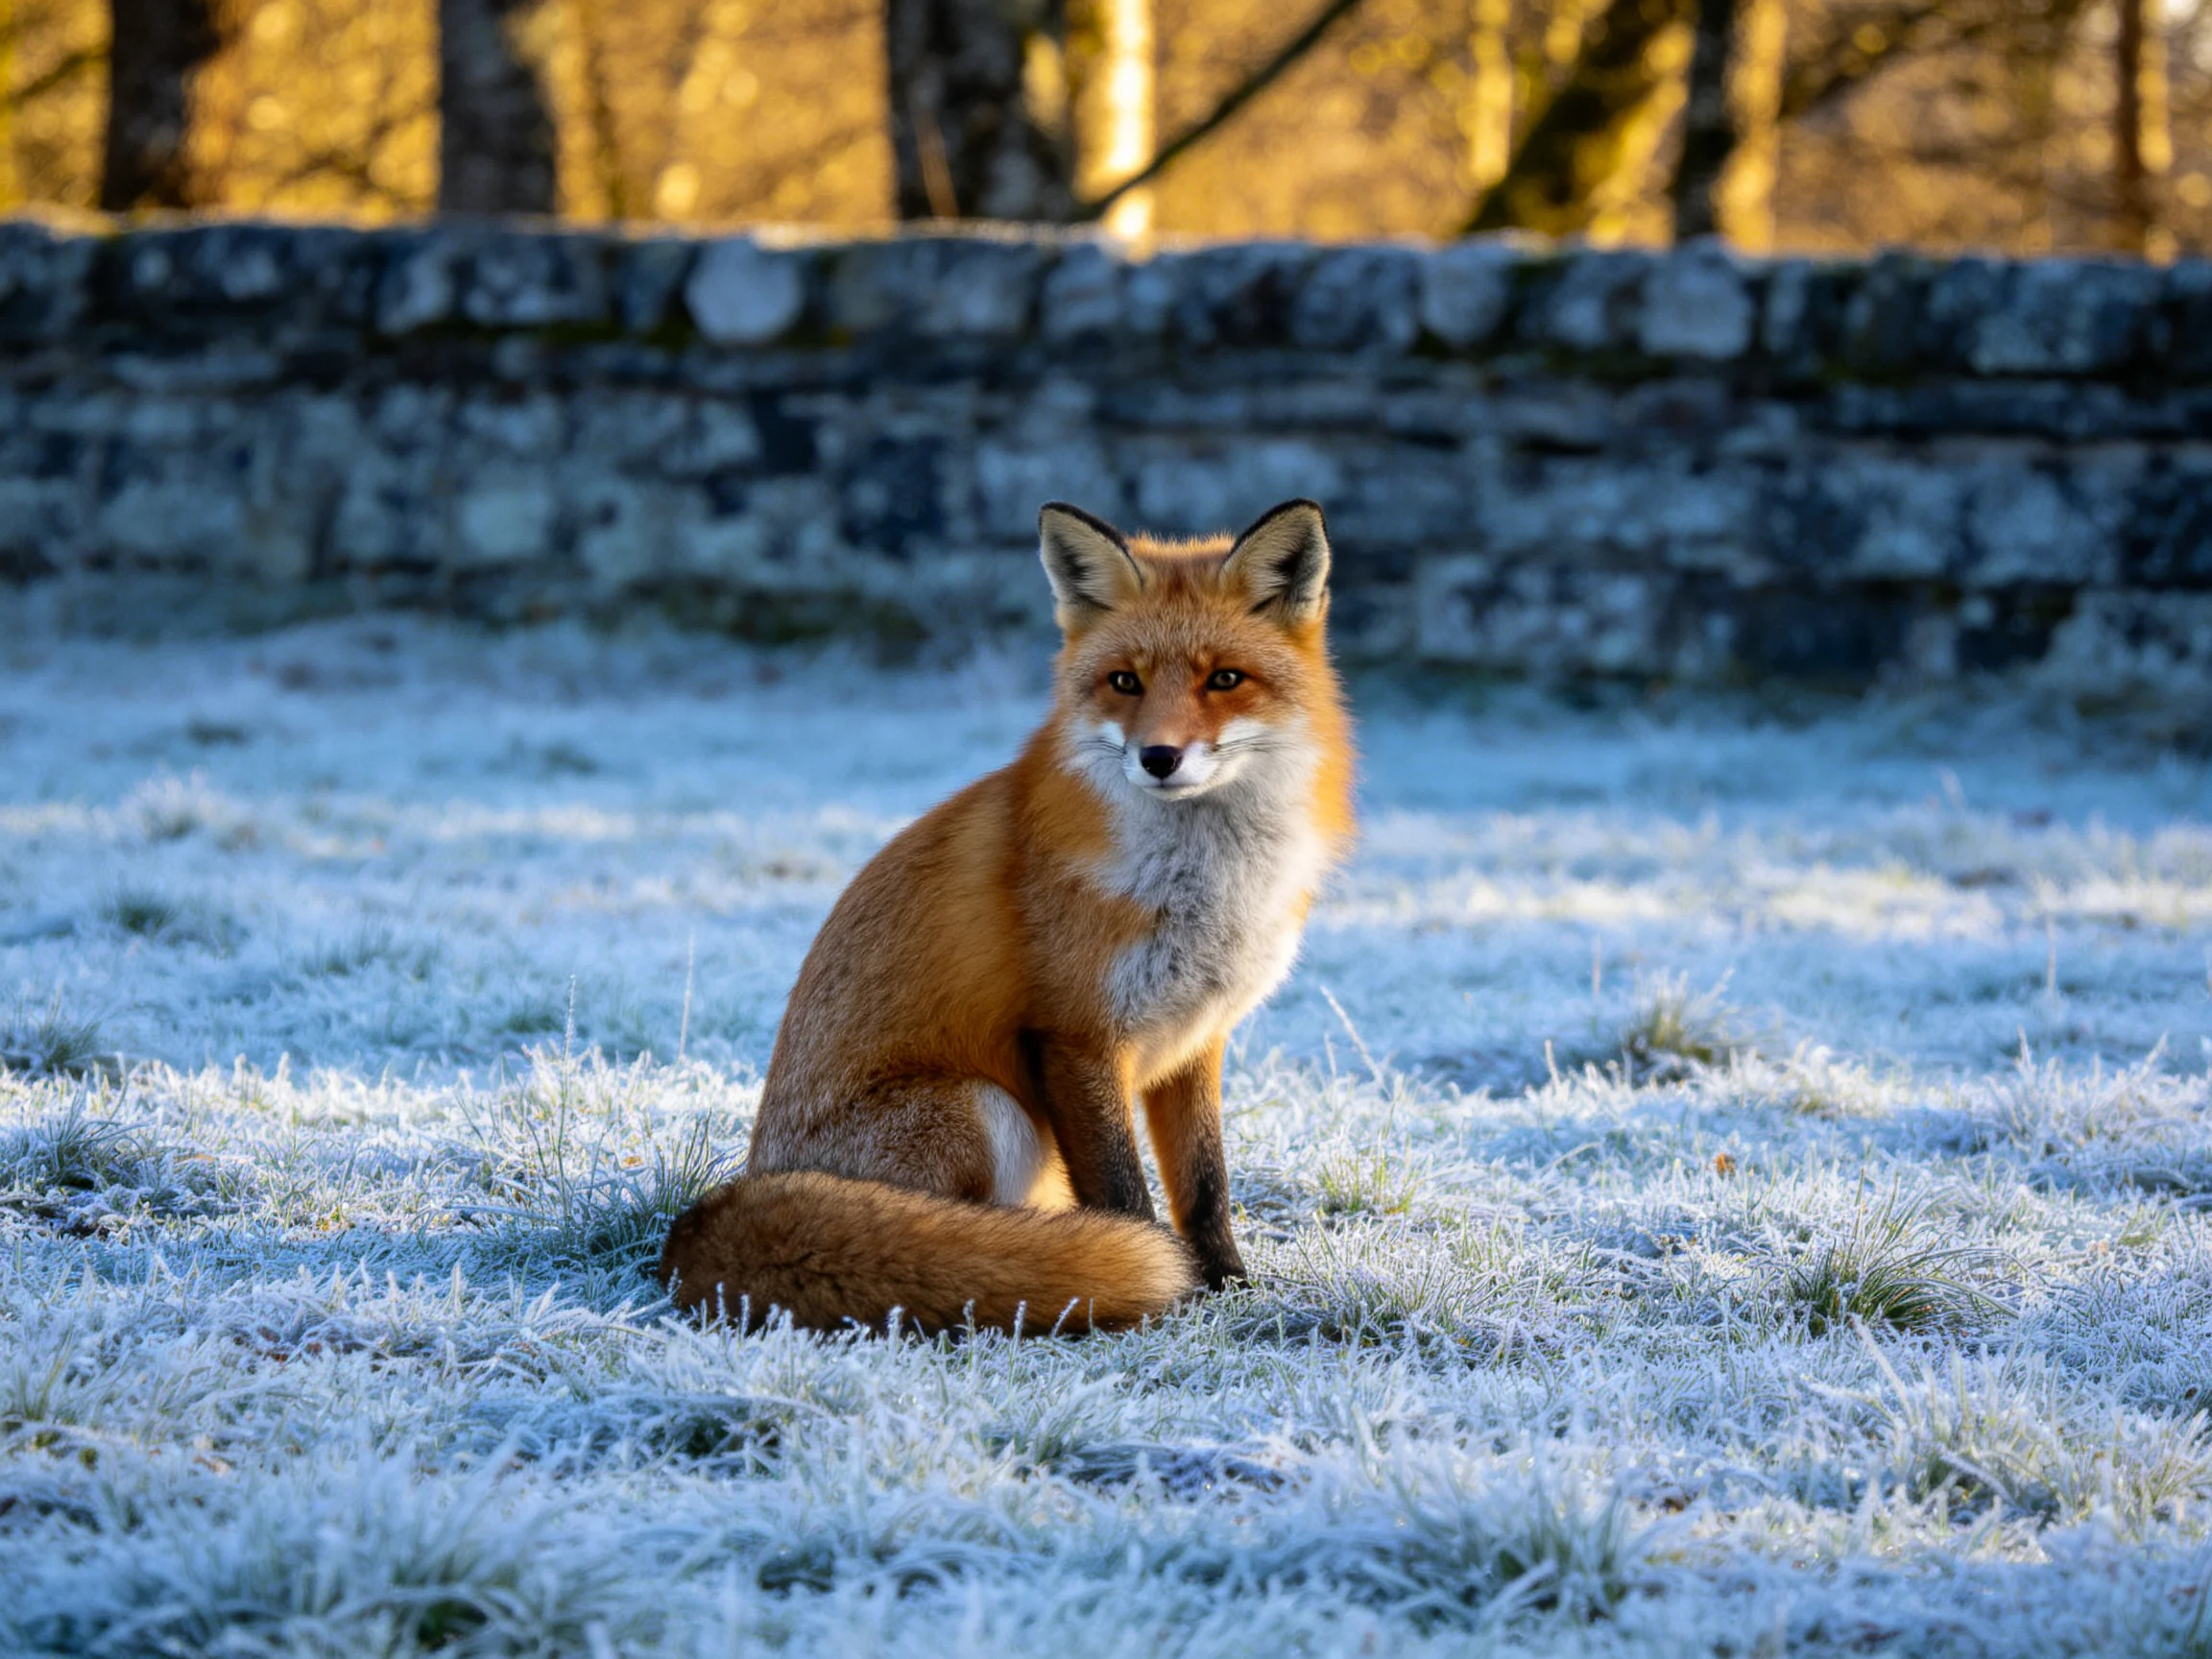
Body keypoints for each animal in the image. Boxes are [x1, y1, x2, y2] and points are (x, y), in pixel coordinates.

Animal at [656, 497, 1355, 1334]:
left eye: (1225, 679)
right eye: (1125, 682)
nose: (1158, 758)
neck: (1201, 888)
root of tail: (709, 1219)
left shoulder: (1196, 1043)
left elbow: (1205, 1189)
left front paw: (1230, 1290)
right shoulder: (1075, 1035)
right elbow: (1125, 1194)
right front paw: (1167, 1294)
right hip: (986, 1109)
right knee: (958, 1244)